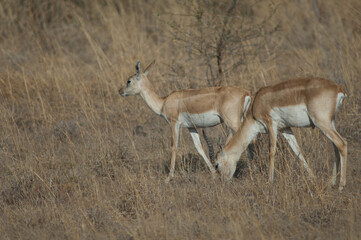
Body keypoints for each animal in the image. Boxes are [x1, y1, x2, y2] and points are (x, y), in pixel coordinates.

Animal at [118, 61, 250, 183]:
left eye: (129, 81)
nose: (120, 91)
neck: (163, 102)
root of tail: (246, 93)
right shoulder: (191, 127)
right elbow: (198, 147)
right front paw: (213, 172)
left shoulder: (174, 124)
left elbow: (174, 147)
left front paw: (168, 178)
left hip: (233, 122)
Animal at [214, 78, 346, 190]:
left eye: (217, 164)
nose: (223, 183)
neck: (256, 104)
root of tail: (338, 88)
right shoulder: (285, 129)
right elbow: (298, 151)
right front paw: (313, 177)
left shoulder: (271, 124)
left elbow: (272, 151)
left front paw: (269, 181)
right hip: (330, 123)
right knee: (335, 146)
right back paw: (332, 182)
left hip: (322, 123)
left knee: (342, 143)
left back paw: (341, 186)